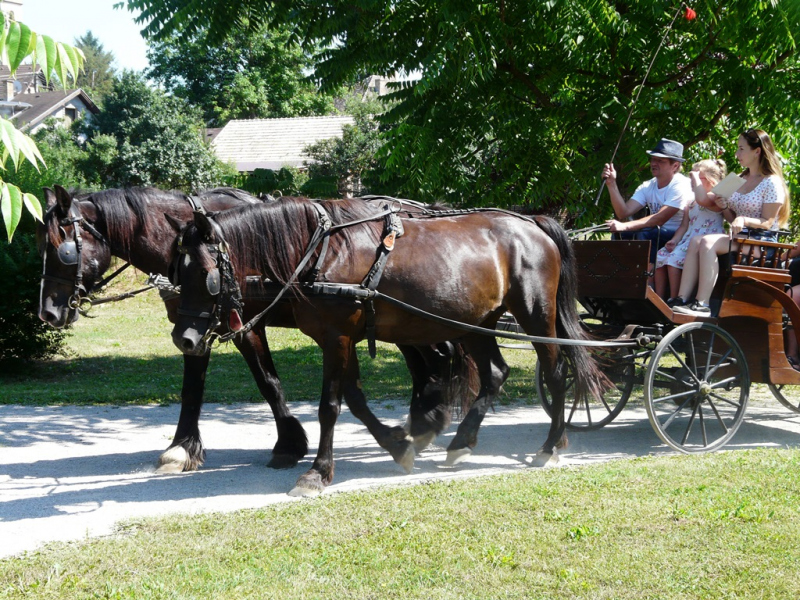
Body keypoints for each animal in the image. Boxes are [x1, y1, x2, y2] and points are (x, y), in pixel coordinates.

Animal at [39, 186, 476, 474]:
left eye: (64, 249)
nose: (48, 312)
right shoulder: (196, 326)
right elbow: (192, 387)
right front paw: (182, 447)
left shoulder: (243, 324)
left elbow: (268, 382)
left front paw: (289, 443)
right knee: (431, 362)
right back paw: (425, 421)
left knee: (436, 358)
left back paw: (429, 422)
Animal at [170, 197, 608, 496]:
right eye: (177, 270)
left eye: (207, 274)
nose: (184, 338)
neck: (319, 252)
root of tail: (533, 223)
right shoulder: (340, 337)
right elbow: (355, 399)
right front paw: (398, 445)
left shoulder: (337, 336)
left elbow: (330, 406)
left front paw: (318, 471)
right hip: (475, 322)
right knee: (495, 374)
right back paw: (462, 441)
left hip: (535, 315)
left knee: (555, 375)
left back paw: (549, 446)